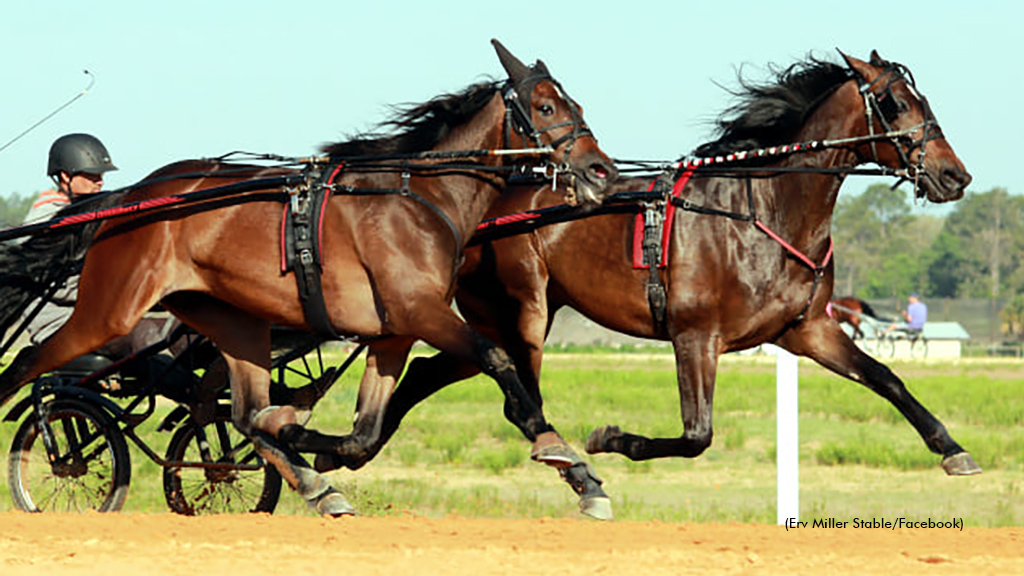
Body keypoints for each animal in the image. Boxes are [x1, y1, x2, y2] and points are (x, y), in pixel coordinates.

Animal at [0, 41, 614, 516]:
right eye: (545, 105)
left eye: (578, 103)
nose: (601, 170)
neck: (418, 198)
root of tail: (132, 198)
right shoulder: (421, 312)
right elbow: (499, 360)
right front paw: (568, 461)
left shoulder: (392, 334)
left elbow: (363, 432)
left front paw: (319, 450)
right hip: (109, 310)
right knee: (31, 369)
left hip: (234, 321)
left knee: (245, 415)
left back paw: (313, 478)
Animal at [333, 50, 974, 516]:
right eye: (893, 102)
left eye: (922, 98)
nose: (955, 175)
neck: (763, 207)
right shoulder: (695, 335)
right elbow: (696, 435)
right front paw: (609, 438)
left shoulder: (808, 329)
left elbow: (887, 379)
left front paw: (954, 451)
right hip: (522, 312)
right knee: (515, 394)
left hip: (494, 319)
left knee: (428, 373)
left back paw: (347, 450)